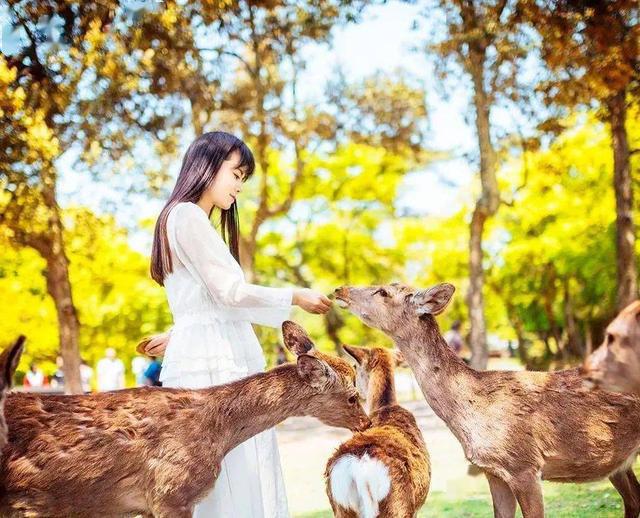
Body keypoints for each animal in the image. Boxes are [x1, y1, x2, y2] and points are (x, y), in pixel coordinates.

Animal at [326, 345, 430, 518]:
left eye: (356, 367)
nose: (356, 389)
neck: (385, 407)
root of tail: (359, 469)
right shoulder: (415, 508)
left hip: (341, 508)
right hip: (398, 507)